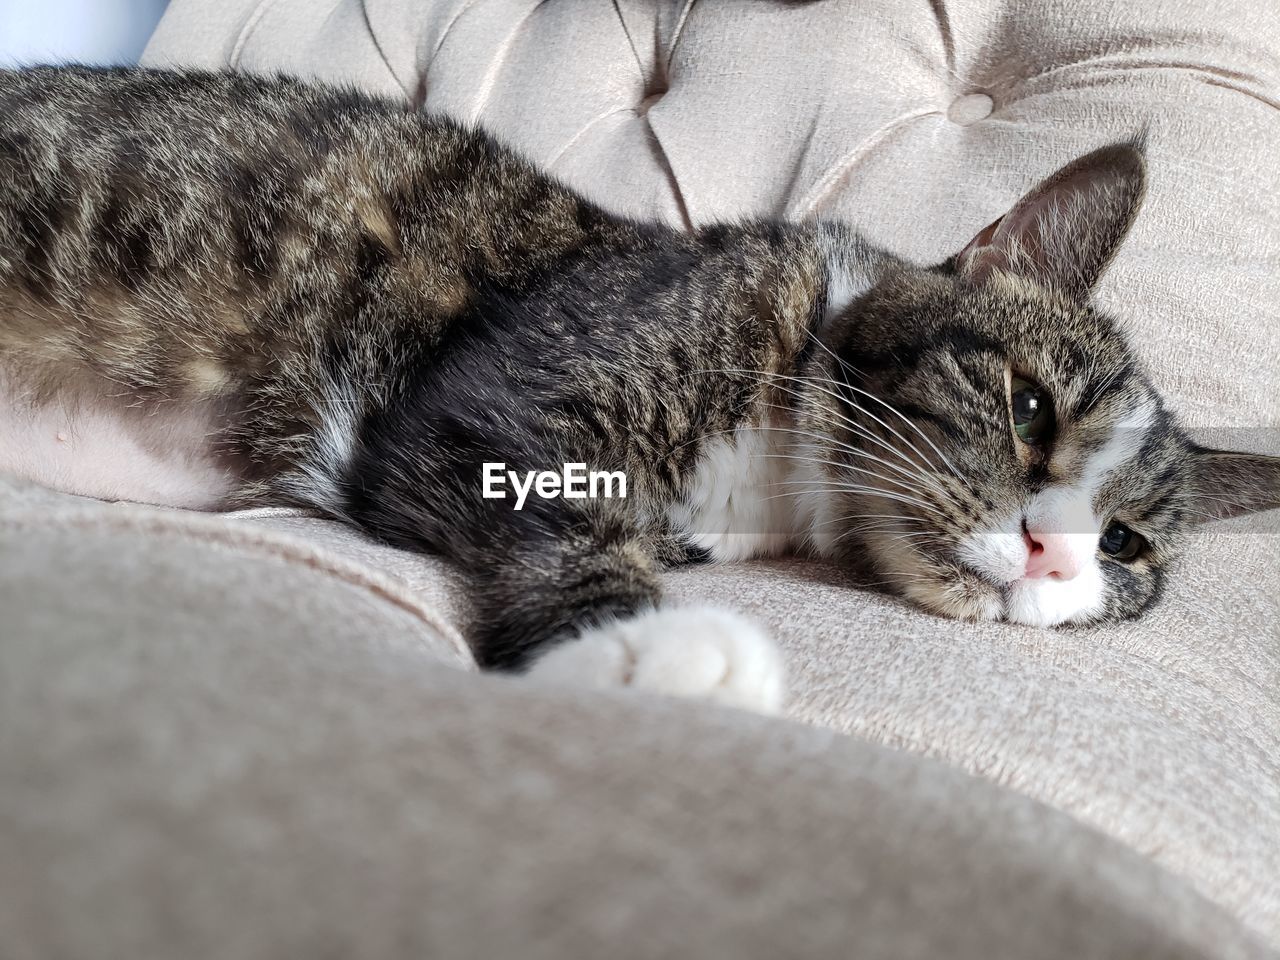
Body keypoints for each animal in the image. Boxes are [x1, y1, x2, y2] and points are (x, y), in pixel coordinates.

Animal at [0, 65, 1274, 716]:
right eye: (1027, 407)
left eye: (1122, 546)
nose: (1056, 552)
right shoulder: (493, 405)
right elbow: (566, 509)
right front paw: (649, 650)